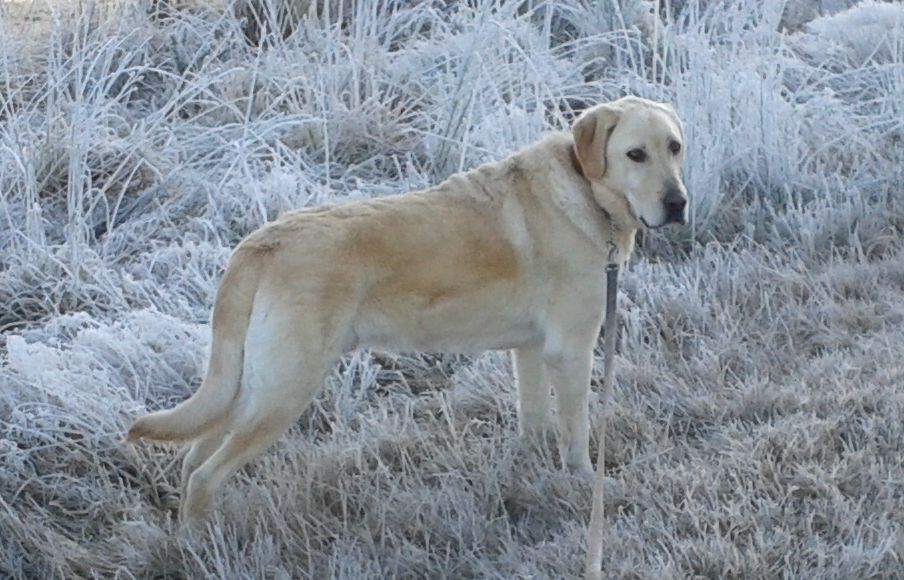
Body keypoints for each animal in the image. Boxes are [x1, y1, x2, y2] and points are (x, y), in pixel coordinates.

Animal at [131, 95, 688, 520]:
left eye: (674, 147)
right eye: (635, 154)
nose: (678, 203)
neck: (585, 190)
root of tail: (259, 243)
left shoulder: (530, 350)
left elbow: (534, 421)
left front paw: (530, 473)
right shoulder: (571, 352)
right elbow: (576, 434)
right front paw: (582, 485)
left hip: (250, 386)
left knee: (193, 458)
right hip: (284, 391)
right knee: (205, 473)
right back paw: (202, 545)